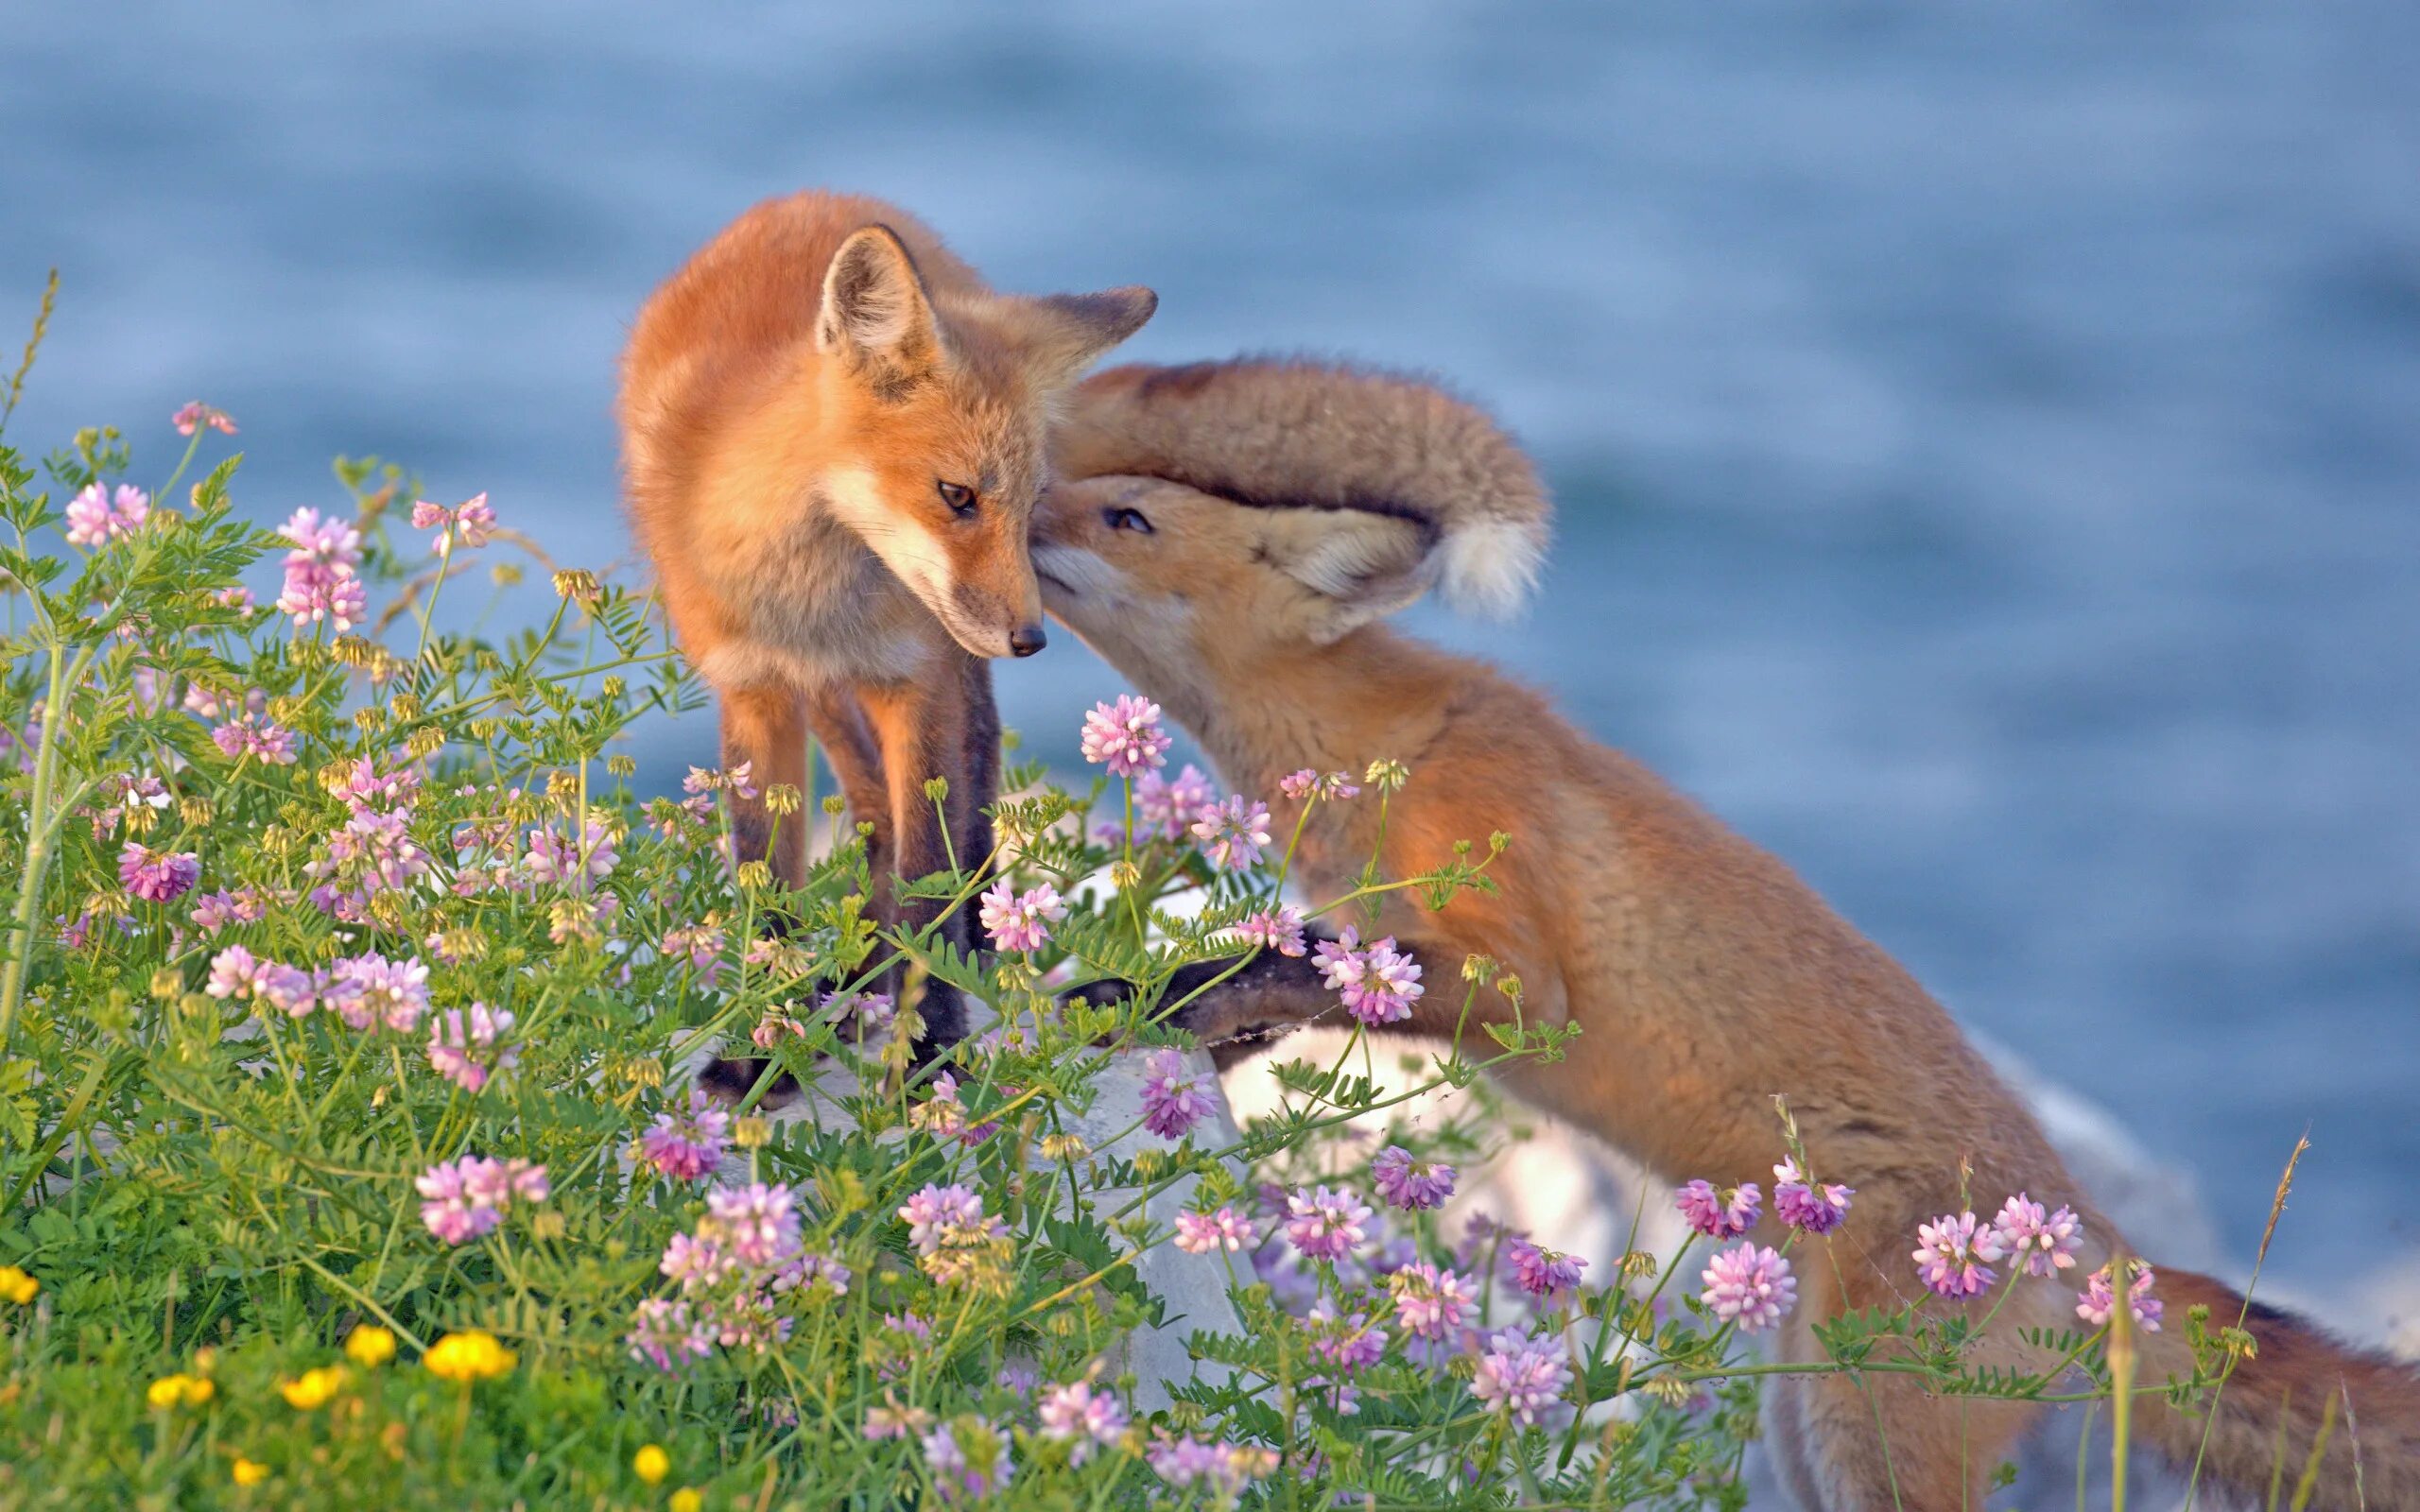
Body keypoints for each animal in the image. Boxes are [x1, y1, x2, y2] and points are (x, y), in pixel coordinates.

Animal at [1040, 355, 2420, 1509]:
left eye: (1126, 519)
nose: (1014, 493)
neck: (1380, 749)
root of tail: (2083, 1232)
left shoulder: (1511, 973)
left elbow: (1269, 968)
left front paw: (1159, 1000)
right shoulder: (1383, 949)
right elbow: (1270, 993)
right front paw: (1156, 1021)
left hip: (1867, 1431)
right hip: (1805, 1423)